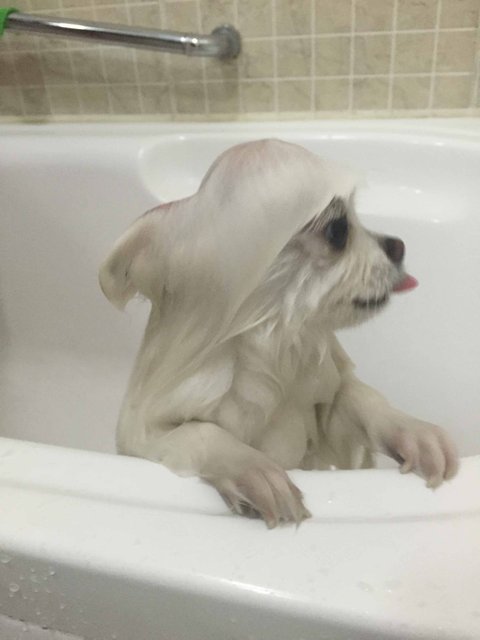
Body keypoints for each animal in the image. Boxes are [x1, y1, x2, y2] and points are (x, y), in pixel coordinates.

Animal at [99, 139, 458, 528]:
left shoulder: (322, 401)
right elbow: (200, 431)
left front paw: (414, 433)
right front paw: (256, 470)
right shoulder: (141, 440)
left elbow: (358, 397)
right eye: (338, 231)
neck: (274, 346)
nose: (398, 245)